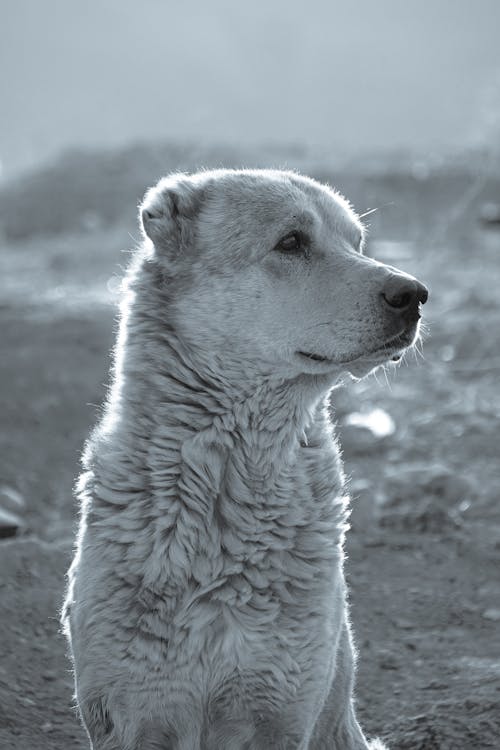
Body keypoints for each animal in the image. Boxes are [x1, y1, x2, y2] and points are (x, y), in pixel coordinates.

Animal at [62, 170, 428, 750]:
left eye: (357, 243)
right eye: (291, 242)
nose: (413, 294)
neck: (231, 479)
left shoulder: (281, 712)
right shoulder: (132, 715)